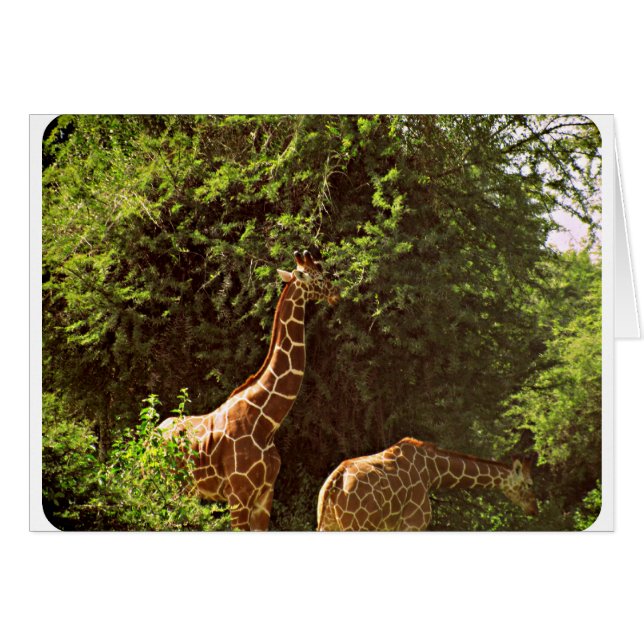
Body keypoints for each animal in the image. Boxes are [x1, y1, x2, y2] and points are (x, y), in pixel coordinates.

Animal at [159, 250, 340, 531]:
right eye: (318, 277)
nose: (336, 292)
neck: (267, 422)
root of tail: (152, 434)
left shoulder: (265, 496)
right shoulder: (239, 495)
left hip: (184, 489)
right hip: (164, 484)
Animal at [317, 437, 538, 531]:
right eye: (529, 484)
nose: (534, 509)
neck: (432, 472)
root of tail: (335, 482)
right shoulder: (413, 524)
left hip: (328, 524)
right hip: (357, 527)